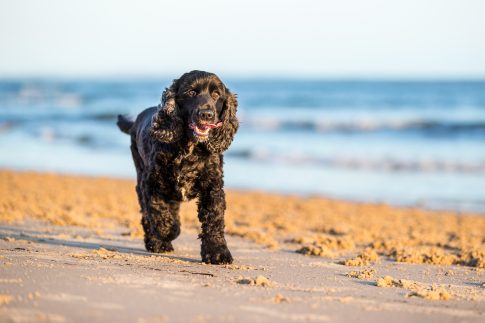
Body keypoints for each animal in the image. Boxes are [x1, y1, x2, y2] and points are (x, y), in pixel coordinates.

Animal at [117, 69, 238, 264]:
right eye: (191, 92)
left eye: (216, 94)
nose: (206, 114)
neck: (190, 147)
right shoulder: (151, 182)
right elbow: (159, 212)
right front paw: (168, 232)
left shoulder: (212, 186)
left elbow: (214, 220)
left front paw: (217, 252)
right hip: (141, 173)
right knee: (147, 214)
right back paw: (157, 243)